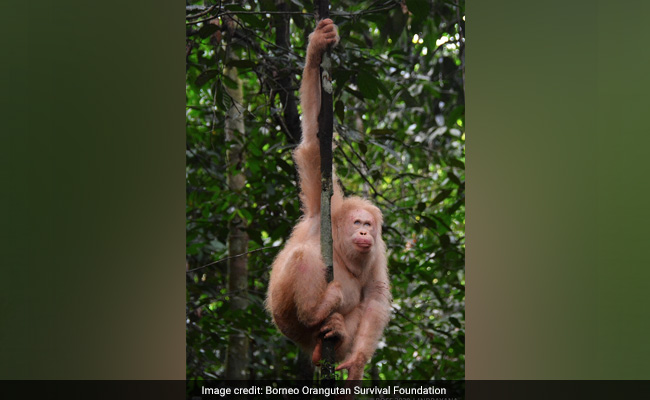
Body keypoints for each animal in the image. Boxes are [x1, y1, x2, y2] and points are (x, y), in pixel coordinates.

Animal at [265, 18, 391, 381]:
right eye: (358, 222)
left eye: (368, 225)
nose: (363, 232)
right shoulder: (322, 205)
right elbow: (312, 144)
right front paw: (316, 48)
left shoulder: (378, 250)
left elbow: (376, 297)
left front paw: (358, 363)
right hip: (282, 315)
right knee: (302, 258)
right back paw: (315, 311)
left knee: (352, 316)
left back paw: (332, 342)